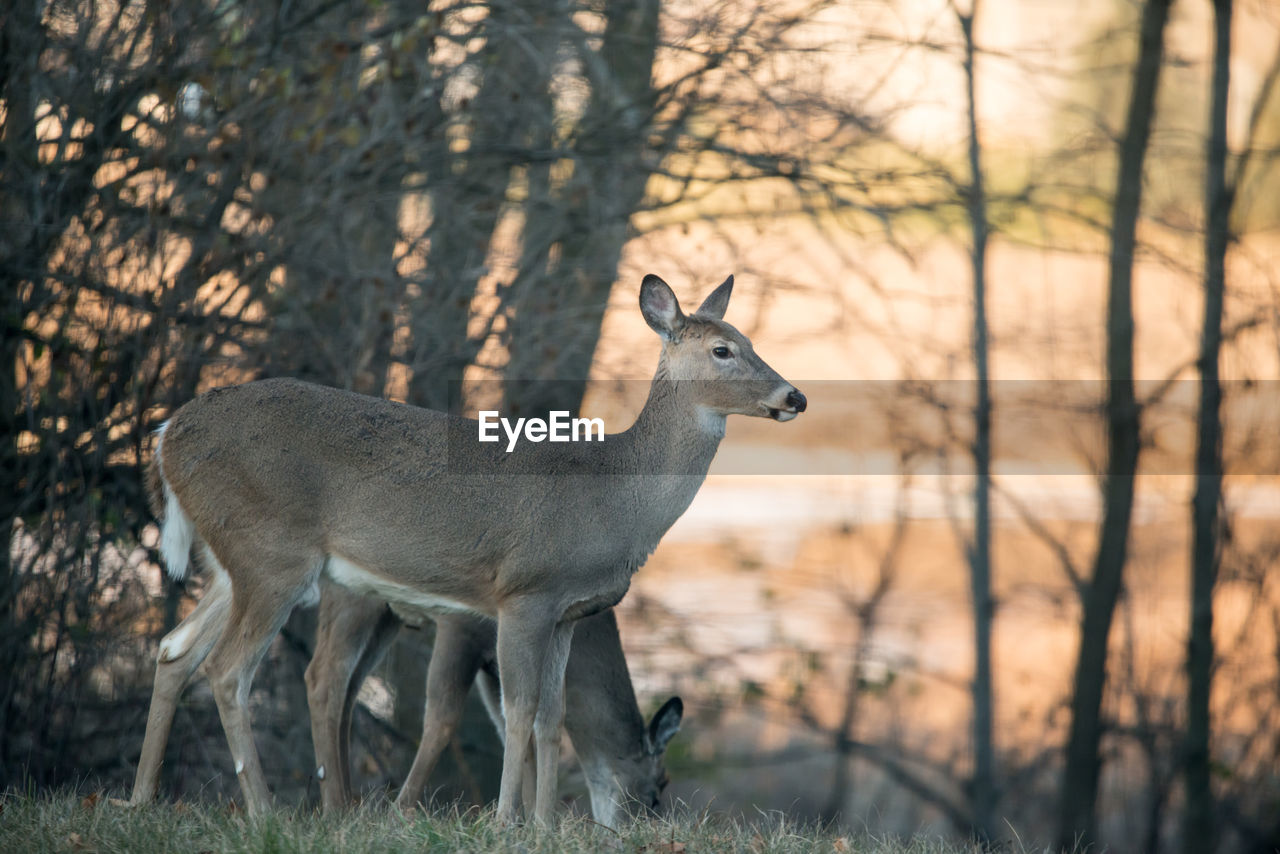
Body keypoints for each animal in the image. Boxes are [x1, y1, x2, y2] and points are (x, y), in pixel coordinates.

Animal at [304, 583, 686, 824]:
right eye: (656, 790)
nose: (639, 831)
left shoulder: (494, 667)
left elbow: (516, 730)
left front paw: (526, 821)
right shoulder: (459, 624)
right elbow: (443, 719)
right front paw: (400, 811)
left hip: (385, 612)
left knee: (350, 689)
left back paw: (347, 804)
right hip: (351, 591)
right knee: (324, 675)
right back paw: (335, 809)